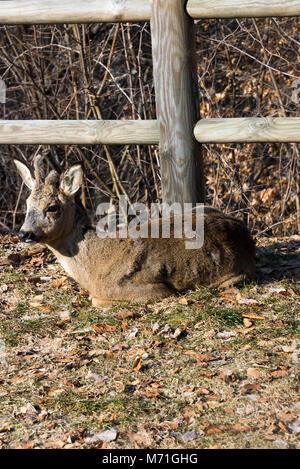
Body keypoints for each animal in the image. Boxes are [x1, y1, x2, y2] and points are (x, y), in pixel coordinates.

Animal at [14, 155, 255, 306]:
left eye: (52, 207)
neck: (93, 267)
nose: (24, 233)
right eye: (27, 204)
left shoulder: (151, 290)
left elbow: (96, 301)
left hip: (231, 277)